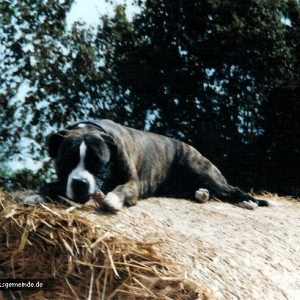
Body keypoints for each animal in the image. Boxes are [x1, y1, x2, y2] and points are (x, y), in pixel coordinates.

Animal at [25, 119, 270, 211]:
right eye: (66, 161)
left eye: (99, 164)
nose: (79, 184)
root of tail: (191, 147)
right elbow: (49, 184)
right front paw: (36, 195)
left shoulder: (133, 184)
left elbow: (121, 188)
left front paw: (112, 199)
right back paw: (201, 194)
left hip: (205, 172)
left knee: (231, 189)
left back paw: (249, 202)